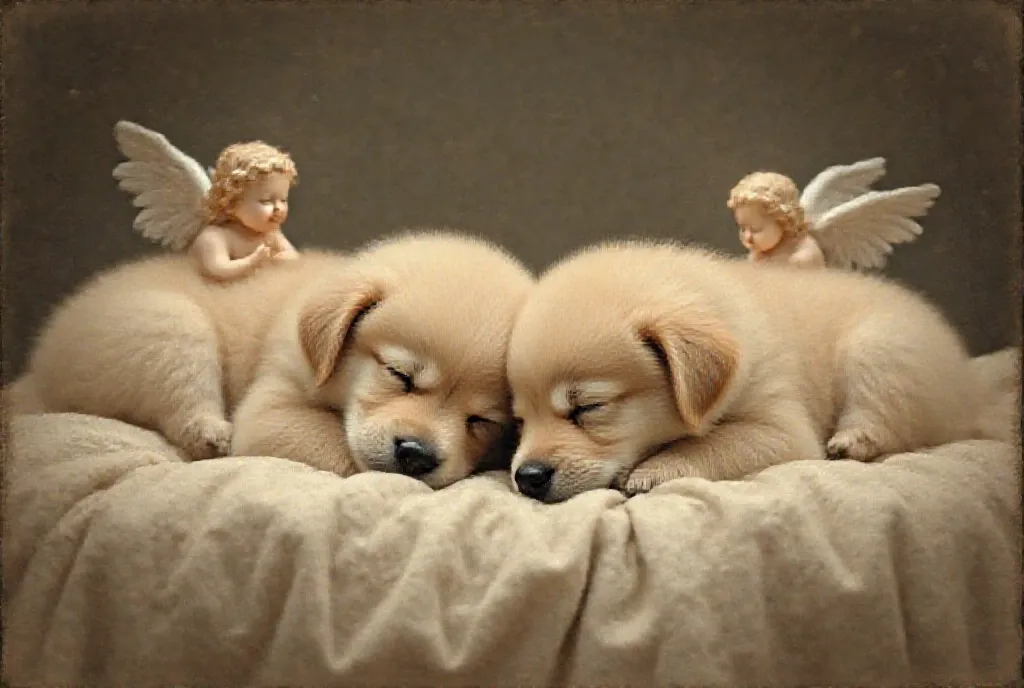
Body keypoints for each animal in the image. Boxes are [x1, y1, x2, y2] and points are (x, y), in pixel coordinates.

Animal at [19, 232, 532, 489]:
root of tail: (38, 369)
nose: (417, 454)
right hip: (170, 324)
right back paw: (213, 434)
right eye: (398, 374)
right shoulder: (272, 407)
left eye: (482, 420)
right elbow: (337, 449)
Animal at [507, 239, 987, 501]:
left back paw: (852, 442)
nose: (527, 477)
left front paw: (654, 468)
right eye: (520, 419)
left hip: (880, 348)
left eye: (589, 407)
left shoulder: (781, 428)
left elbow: (712, 443)